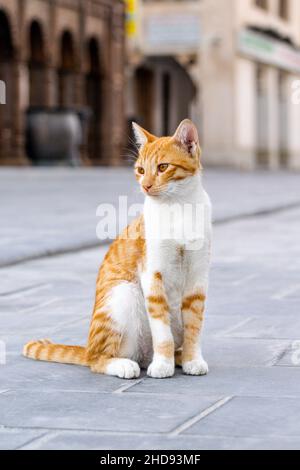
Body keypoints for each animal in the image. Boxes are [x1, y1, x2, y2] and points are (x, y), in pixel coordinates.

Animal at [22, 119, 211, 380]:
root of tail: (87, 347)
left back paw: (178, 357)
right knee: (98, 360)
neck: (179, 208)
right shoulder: (152, 274)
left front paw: (193, 359)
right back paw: (127, 364)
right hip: (123, 294)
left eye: (163, 167)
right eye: (140, 170)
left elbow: (195, 325)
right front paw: (163, 364)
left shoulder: (197, 278)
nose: (145, 186)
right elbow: (162, 330)